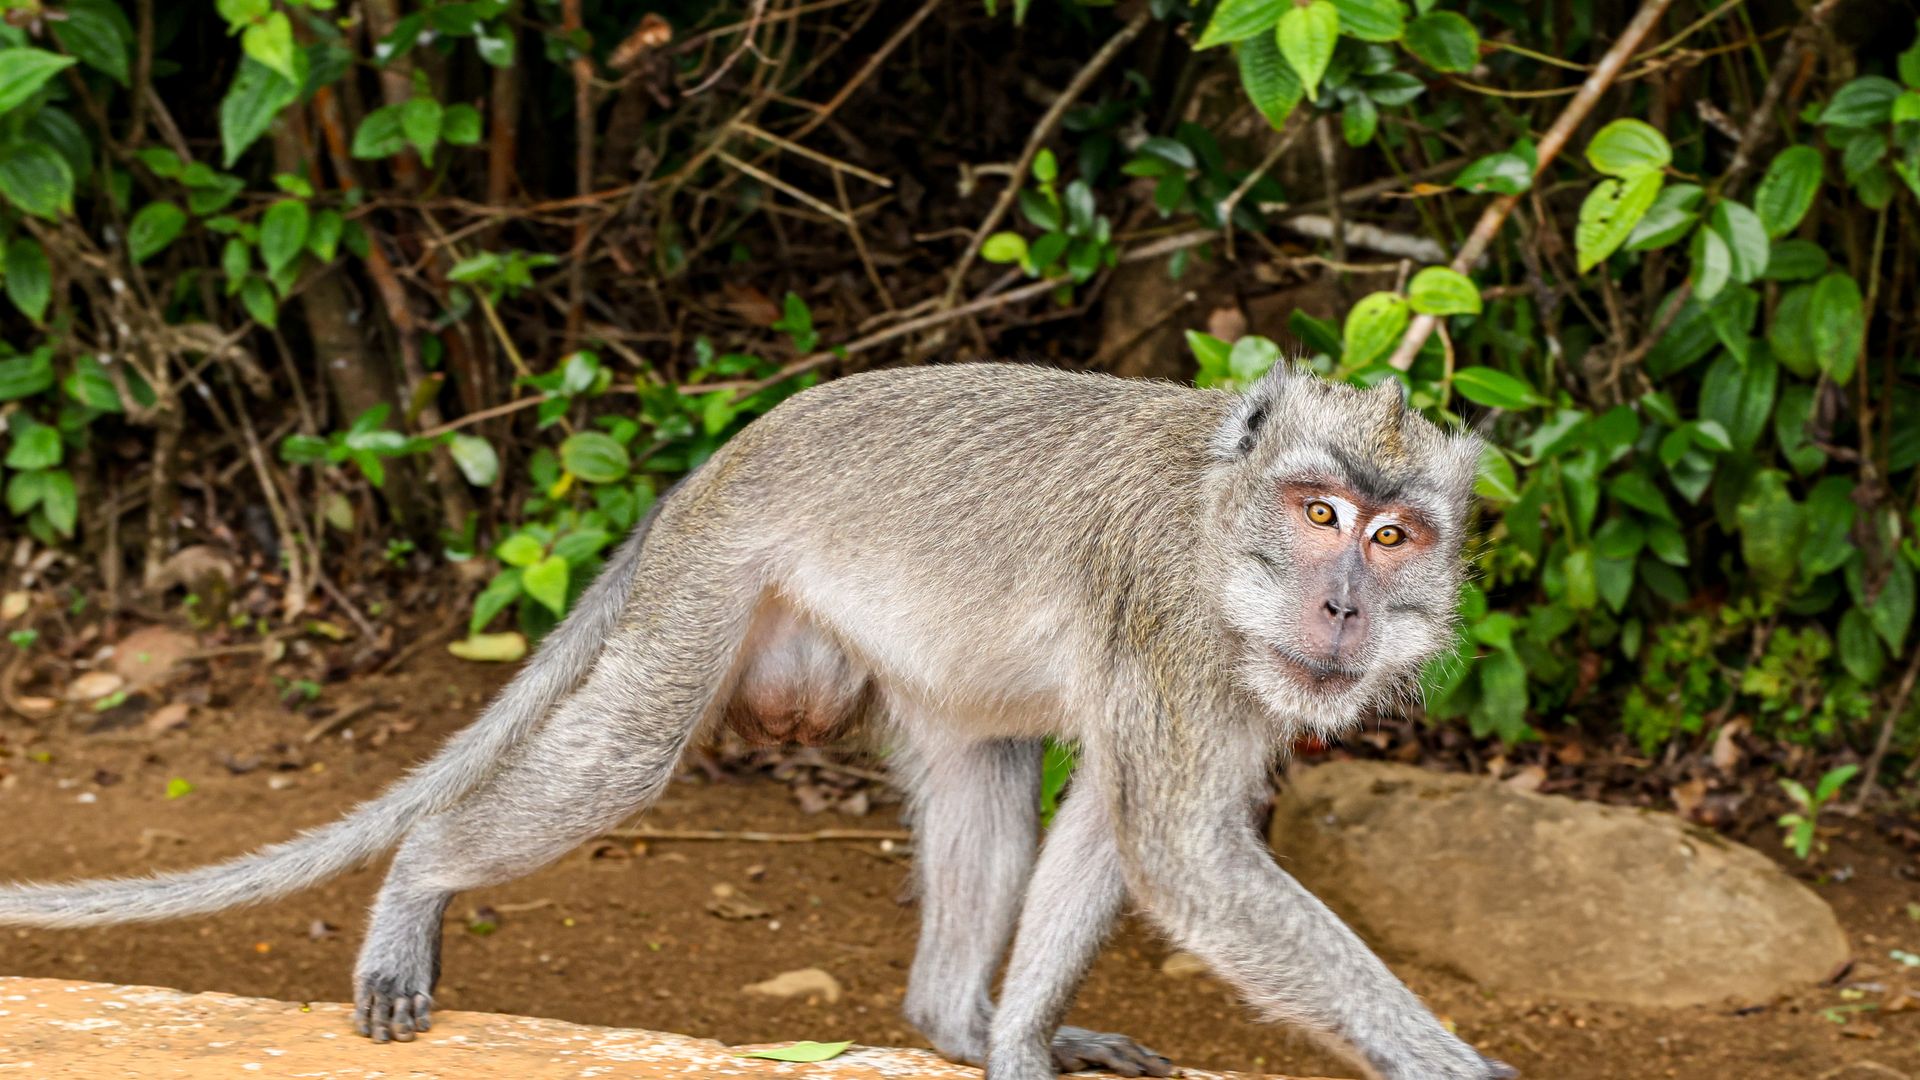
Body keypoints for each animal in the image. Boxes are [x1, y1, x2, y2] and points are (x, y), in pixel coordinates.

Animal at [0, 362, 1513, 1080]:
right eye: (1317, 513)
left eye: (1392, 536)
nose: (1342, 607)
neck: (1219, 525)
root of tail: (720, 459)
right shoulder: (1183, 629)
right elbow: (1183, 853)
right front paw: (1439, 1056)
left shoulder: (1220, 676)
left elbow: (1126, 827)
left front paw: (1021, 1051)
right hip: (715, 587)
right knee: (623, 756)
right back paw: (419, 880)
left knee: (989, 760)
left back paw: (954, 1022)